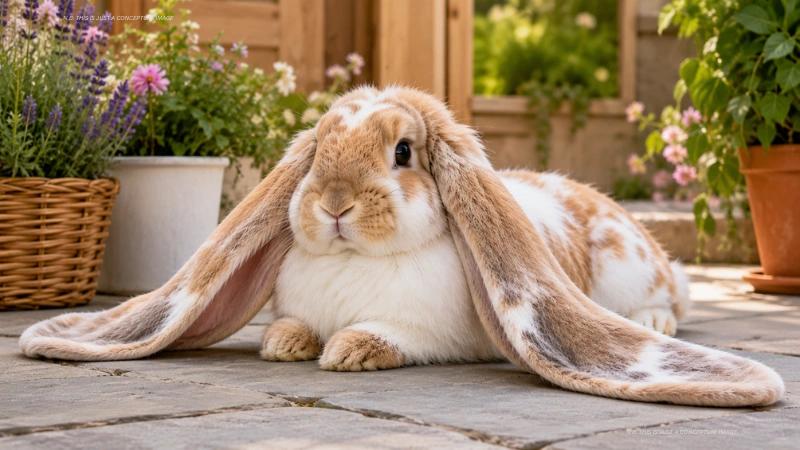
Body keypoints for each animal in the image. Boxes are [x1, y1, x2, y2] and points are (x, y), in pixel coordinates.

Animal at [19, 86, 783, 407]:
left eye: (403, 151)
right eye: (317, 152)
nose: (334, 203)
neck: (356, 263)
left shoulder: (435, 333)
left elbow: (386, 336)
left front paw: (347, 351)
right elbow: (292, 328)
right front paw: (287, 344)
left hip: (634, 272)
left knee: (672, 299)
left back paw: (654, 318)